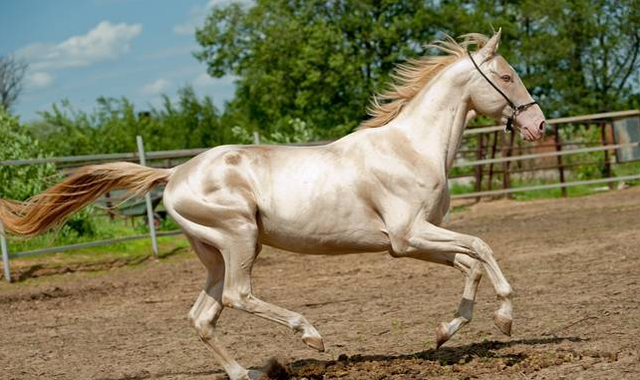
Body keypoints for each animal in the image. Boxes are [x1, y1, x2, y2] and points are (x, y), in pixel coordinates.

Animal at [0, 30, 544, 380]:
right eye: (507, 76)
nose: (539, 125)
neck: (410, 148)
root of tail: (174, 174)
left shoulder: (412, 242)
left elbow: (469, 264)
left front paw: (444, 333)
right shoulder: (408, 235)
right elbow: (482, 247)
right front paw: (505, 318)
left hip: (215, 254)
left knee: (203, 315)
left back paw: (246, 372)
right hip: (240, 239)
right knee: (238, 296)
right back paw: (311, 336)